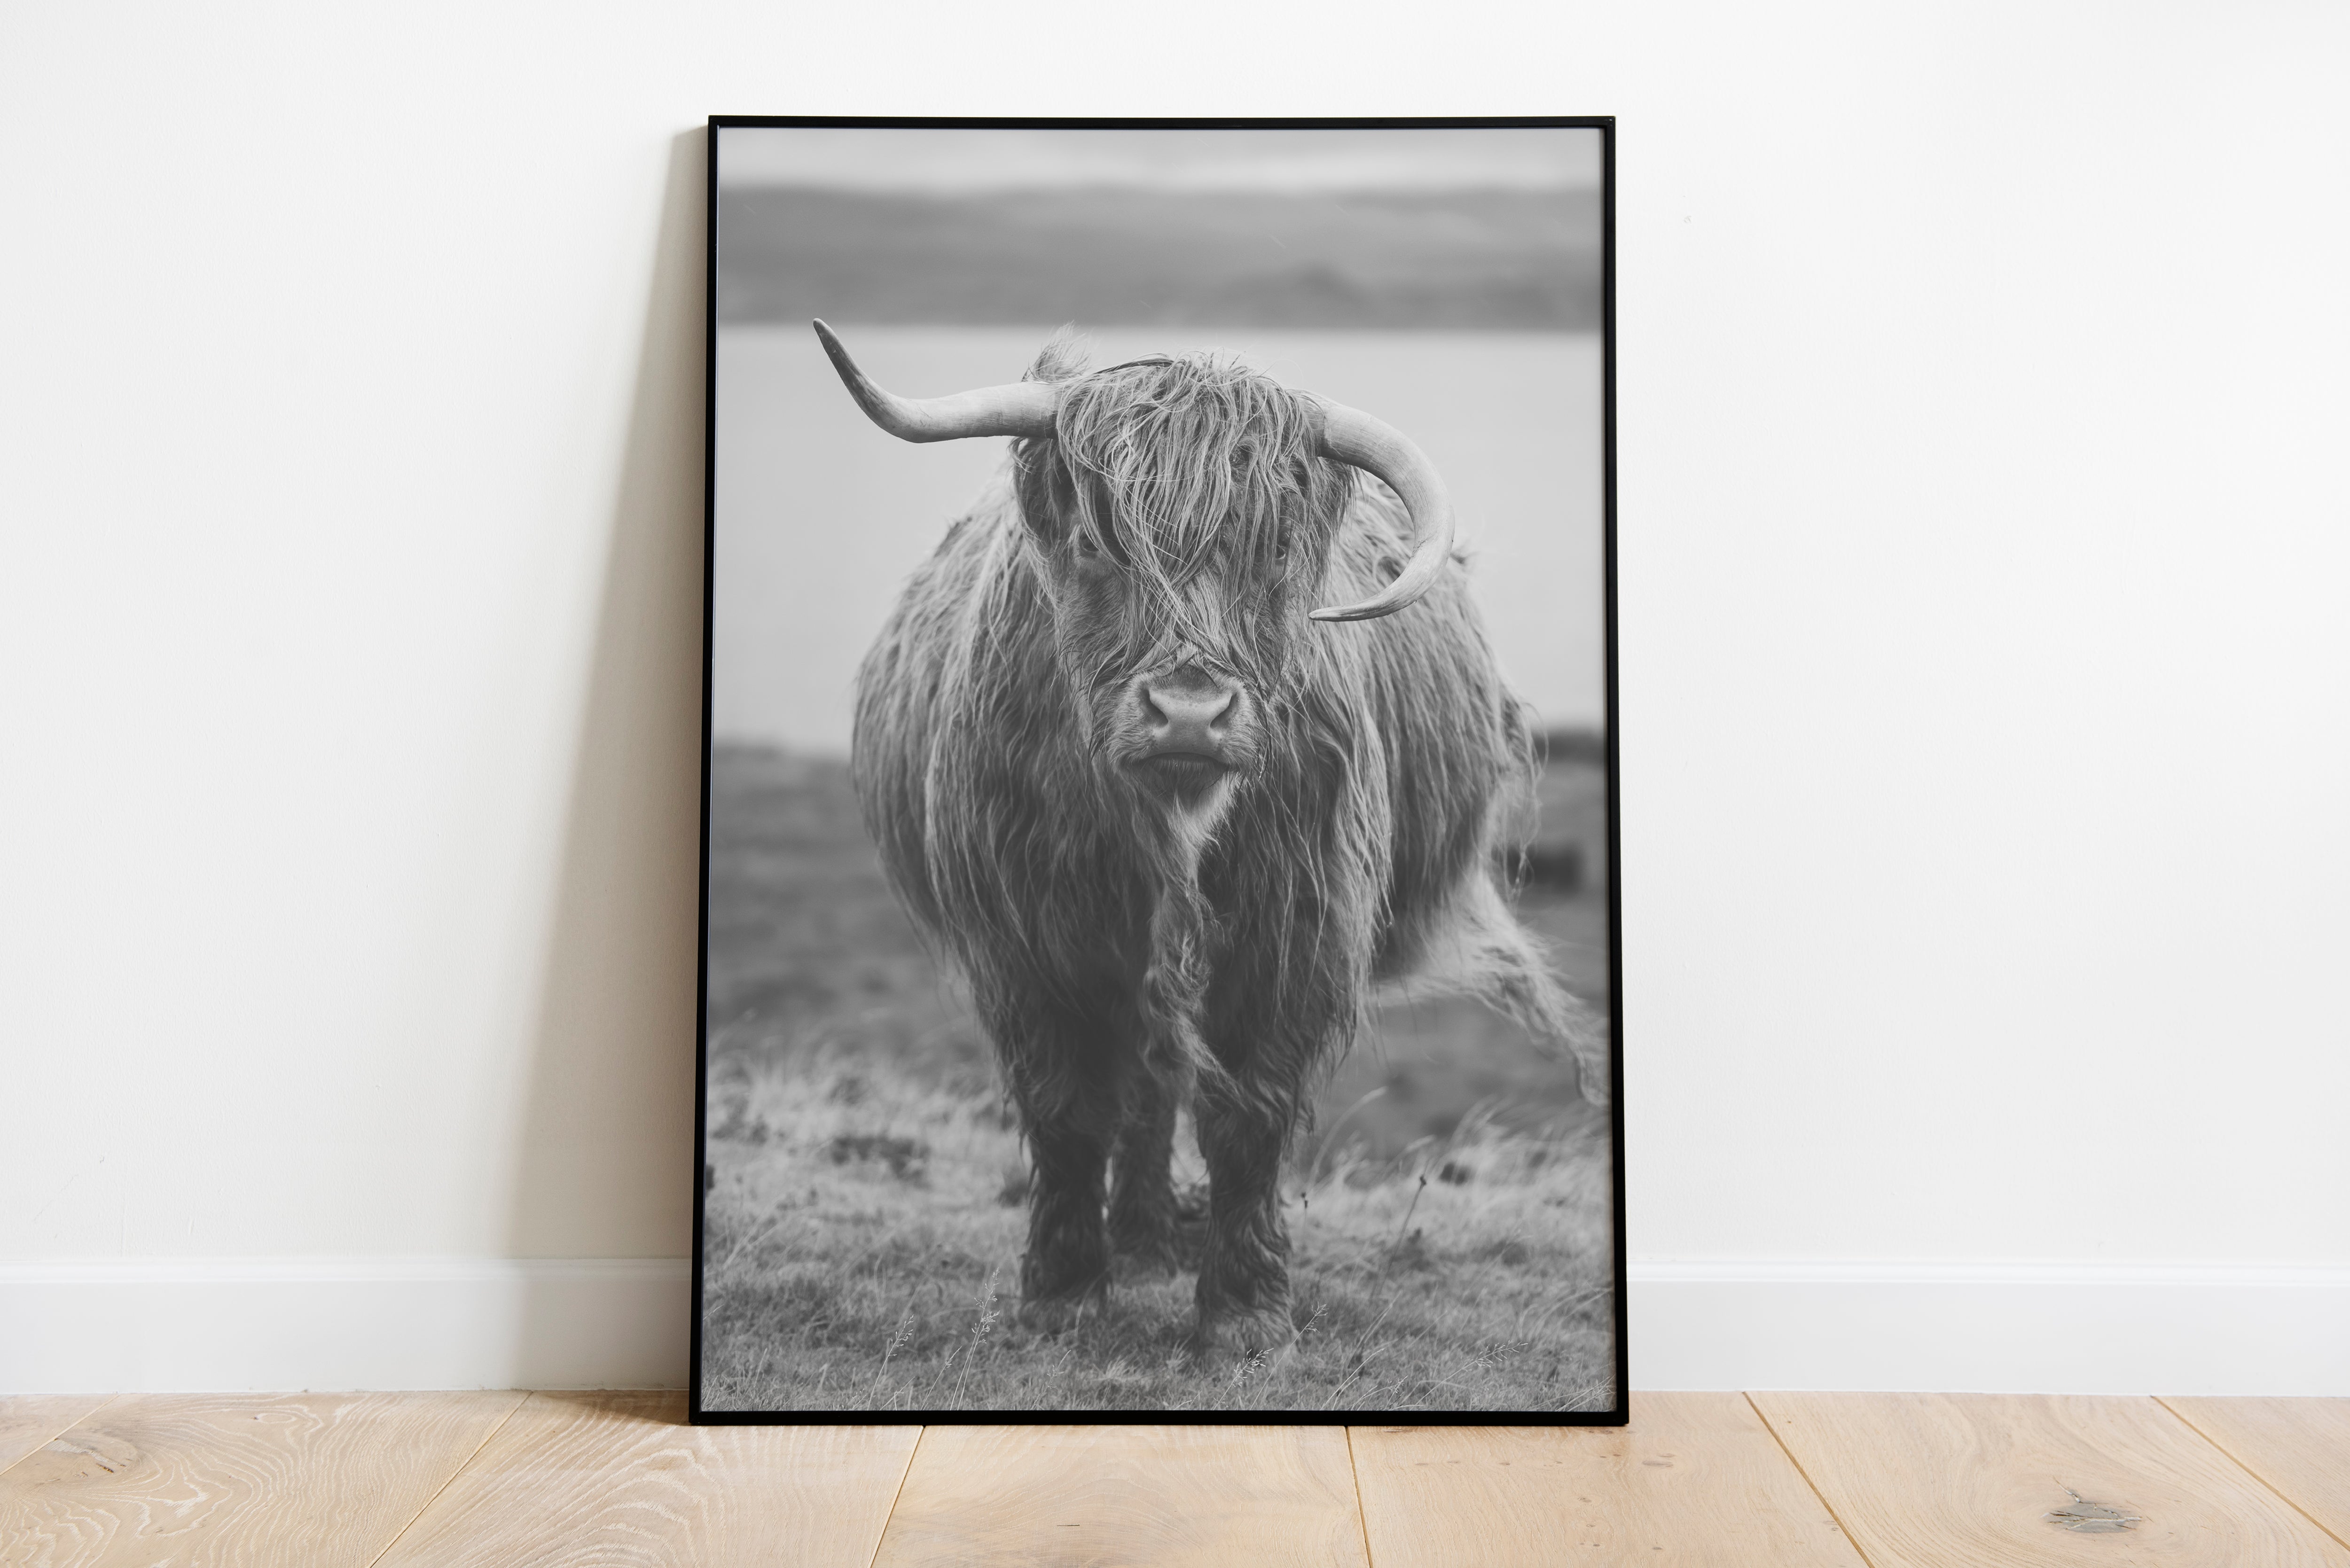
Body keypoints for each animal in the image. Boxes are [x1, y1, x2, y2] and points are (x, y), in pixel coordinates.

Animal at [818, 320, 1603, 1361]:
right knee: (1140, 1086)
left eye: (1275, 547)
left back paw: (1156, 1242)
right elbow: (1066, 1108)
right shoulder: (1027, 943)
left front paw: (1246, 1311)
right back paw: (1140, 1242)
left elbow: (1249, 1112)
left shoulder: (1292, 934)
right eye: (1095, 541)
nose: (1189, 712)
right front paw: (1062, 1294)